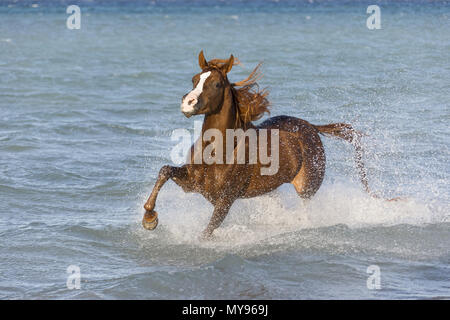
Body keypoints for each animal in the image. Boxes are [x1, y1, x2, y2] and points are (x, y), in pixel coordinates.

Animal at [143, 51, 384, 239]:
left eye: (216, 84)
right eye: (194, 79)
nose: (187, 103)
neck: (220, 150)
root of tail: (311, 127)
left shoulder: (226, 198)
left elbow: (208, 231)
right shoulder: (193, 184)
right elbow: (165, 171)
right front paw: (149, 218)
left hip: (307, 187)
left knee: (306, 211)